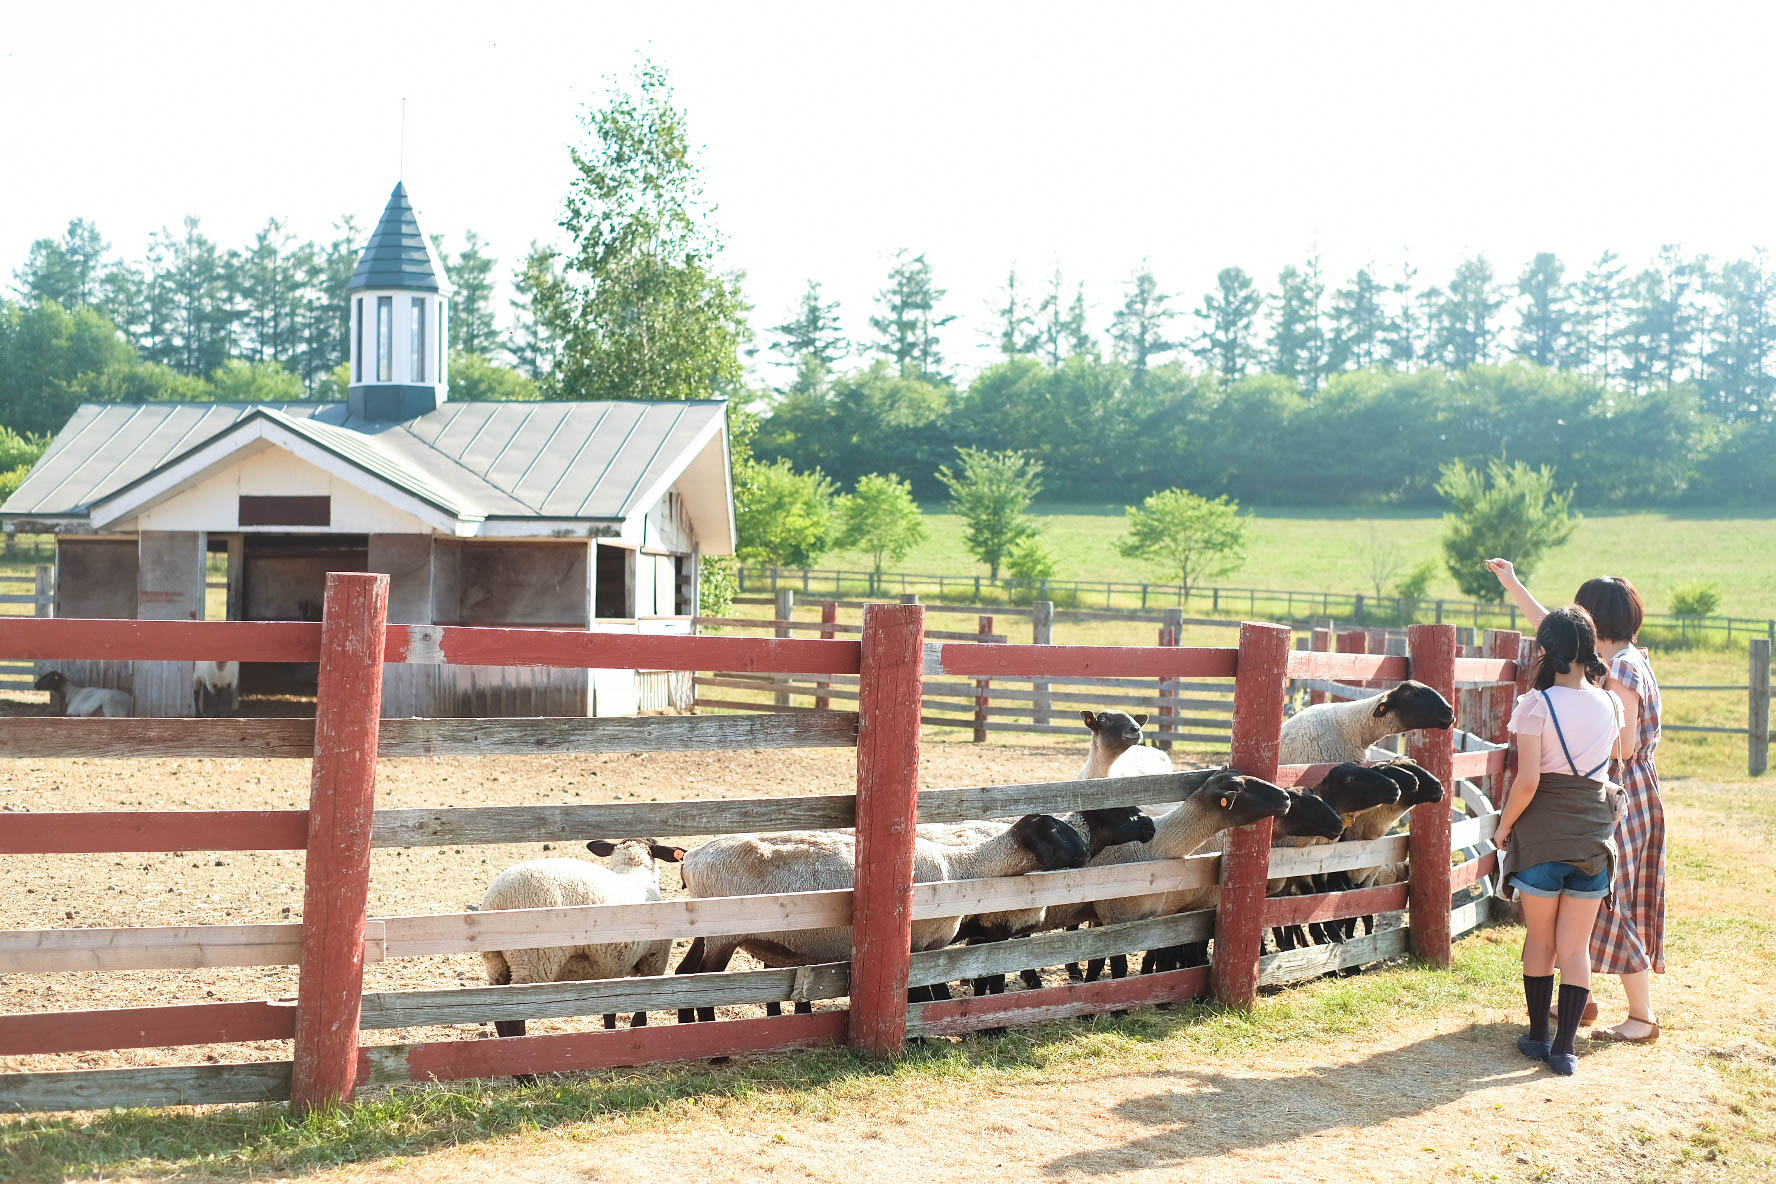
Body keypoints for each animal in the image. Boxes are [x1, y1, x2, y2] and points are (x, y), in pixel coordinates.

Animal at [479, 837, 685, 1043]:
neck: (634, 873)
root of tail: (496, 901)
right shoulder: (653, 961)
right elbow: (640, 1012)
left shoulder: (610, 967)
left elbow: (609, 1011)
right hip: (533, 959)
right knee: (515, 1014)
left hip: (497, 962)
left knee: (498, 1008)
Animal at [667, 816, 1072, 1029]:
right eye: (1054, 830)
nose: (1082, 853)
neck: (960, 867)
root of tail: (692, 856)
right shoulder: (921, 945)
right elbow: (926, 994)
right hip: (725, 933)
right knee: (705, 980)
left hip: (703, 928)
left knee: (685, 974)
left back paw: (687, 1025)